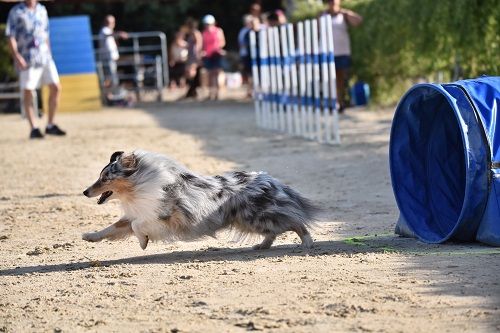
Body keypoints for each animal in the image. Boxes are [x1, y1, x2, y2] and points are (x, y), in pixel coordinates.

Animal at [80, 150, 318, 249]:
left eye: (104, 178)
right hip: (250, 220)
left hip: (255, 217)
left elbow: (138, 226)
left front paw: (143, 242)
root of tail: (270, 179)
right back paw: (261, 246)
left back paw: (307, 242)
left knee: (294, 221)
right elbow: (112, 228)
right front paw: (89, 236)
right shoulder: (137, 213)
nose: (84, 192)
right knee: (275, 229)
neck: (139, 185)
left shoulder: (162, 216)